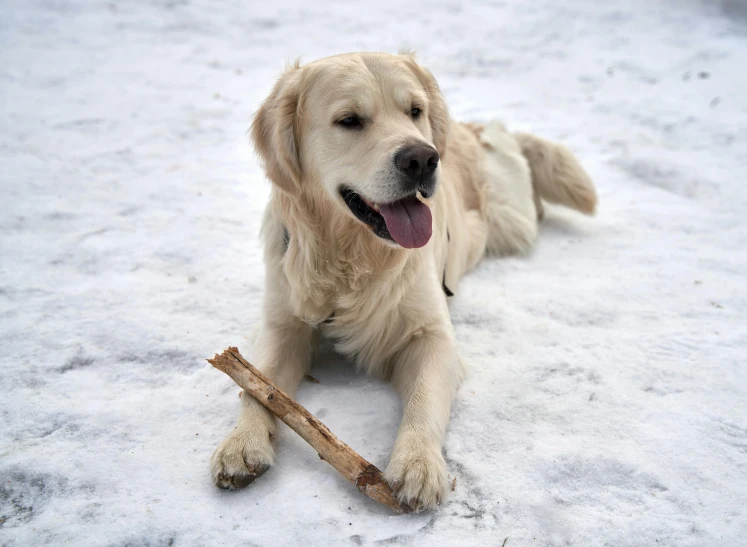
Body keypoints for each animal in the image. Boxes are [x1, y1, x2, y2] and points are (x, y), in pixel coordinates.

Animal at [213, 50, 600, 510]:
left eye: (414, 110)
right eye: (349, 120)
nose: (422, 159)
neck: (353, 256)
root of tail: (471, 128)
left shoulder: (432, 336)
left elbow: (423, 400)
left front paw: (418, 465)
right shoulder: (283, 325)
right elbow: (258, 384)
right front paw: (242, 443)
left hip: (511, 221)